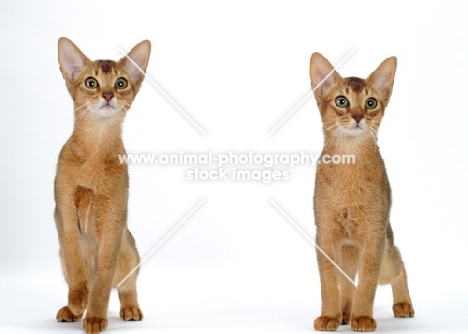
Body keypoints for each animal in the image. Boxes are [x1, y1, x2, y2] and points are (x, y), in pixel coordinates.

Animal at [55, 37, 151, 332]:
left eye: (120, 83)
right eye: (91, 82)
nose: (108, 95)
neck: (95, 151)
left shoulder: (113, 219)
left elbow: (103, 281)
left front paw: (96, 316)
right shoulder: (64, 211)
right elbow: (76, 263)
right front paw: (77, 299)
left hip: (128, 250)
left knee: (127, 284)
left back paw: (130, 308)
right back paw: (71, 309)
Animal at [310, 53, 414, 330]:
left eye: (371, 102)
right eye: (341, 101)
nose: (358, 116)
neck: (350, 161)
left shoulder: (373, 236)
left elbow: (367, 282)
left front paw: (364, 317)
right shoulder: (326, 234)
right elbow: (329, 282)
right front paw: (329, 316)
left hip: (384, 253)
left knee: (399, 265)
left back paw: (402, 304)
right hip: (347, 250)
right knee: (347, 283)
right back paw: (344, 313)